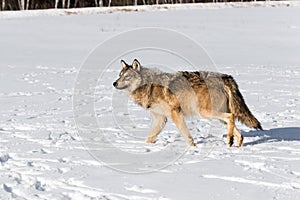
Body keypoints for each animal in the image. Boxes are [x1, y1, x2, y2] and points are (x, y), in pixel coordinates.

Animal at [113, 59, 262, 147]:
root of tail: (226, 77)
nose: (114, 83)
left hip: (206, 113)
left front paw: (193, 148)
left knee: (231, 117)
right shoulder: (161, 118)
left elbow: (186, 135)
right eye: (119, 75)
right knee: (239, 131)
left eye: (127, 77)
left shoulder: (175, 113)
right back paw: (234, 145)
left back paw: (230, 140)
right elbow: (149, 138)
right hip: (216, 116)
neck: (148, 86)